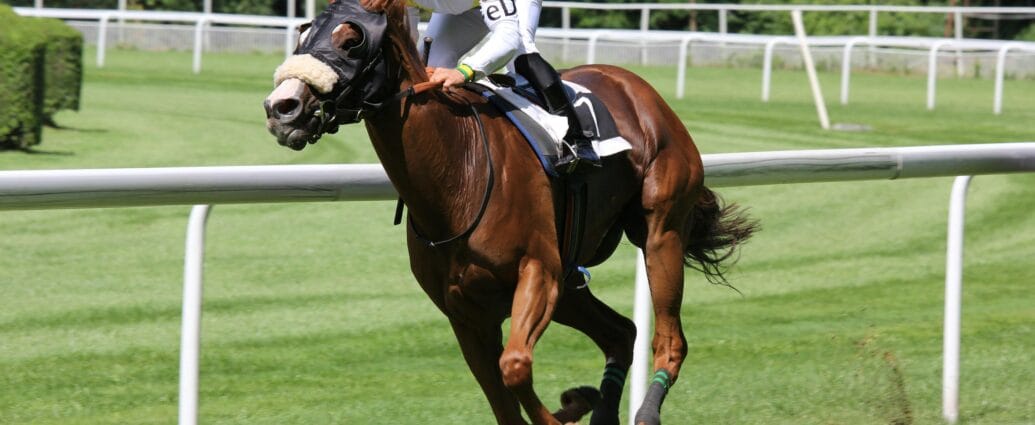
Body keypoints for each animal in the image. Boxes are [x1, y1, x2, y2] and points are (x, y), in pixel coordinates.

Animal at [264, 1, 756, 423]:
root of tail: (638, 88)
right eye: (304, 32)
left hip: (660, 231)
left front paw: (568, 410)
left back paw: (643, 411)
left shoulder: (538, 272)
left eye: (352, 40)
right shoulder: (465, 313)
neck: (457, 175)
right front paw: (577, 402)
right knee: (621, 333)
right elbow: (502, 398)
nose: (281, 108)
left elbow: (515, 366)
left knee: (669, 339)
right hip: (572, 280)